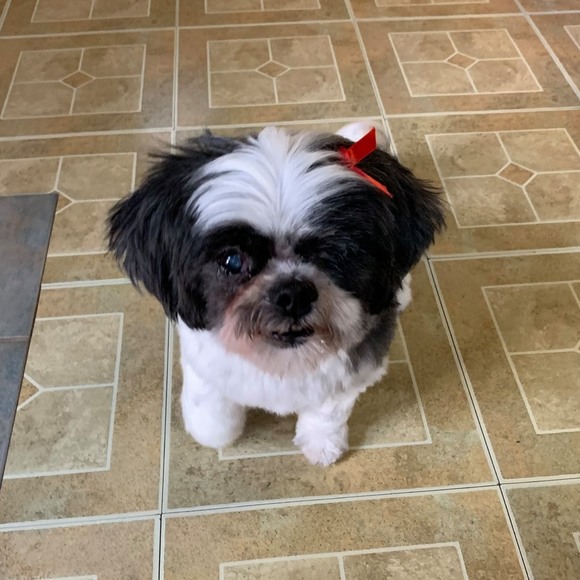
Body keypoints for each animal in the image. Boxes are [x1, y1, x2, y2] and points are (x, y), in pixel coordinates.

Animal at [107, 122, 444, 466]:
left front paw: (322, 443)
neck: (281, 361)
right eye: (232, 260)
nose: (292, 294)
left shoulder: (349, 377)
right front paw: (210, 430)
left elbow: (327, 413)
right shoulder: (203, 363)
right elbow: (213, 419)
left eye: (339, 252)